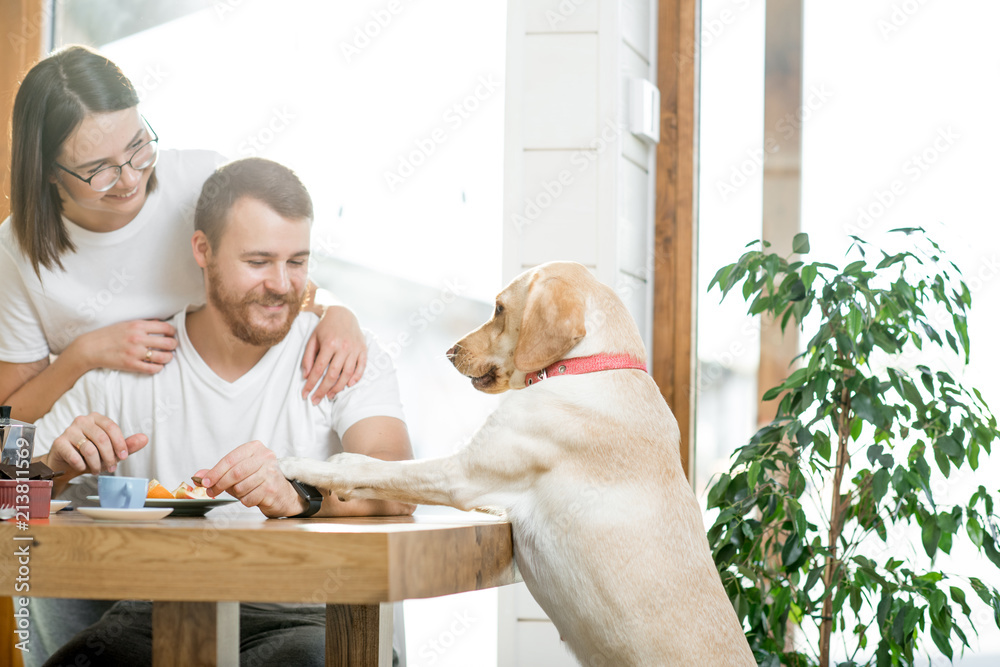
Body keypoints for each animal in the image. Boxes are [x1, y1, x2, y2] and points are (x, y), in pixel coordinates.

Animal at [278, 262, 752, 667]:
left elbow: (368, 466)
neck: (587, 366)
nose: (448, 352)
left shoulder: (461, 475)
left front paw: (301, 464)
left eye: (499, 308)